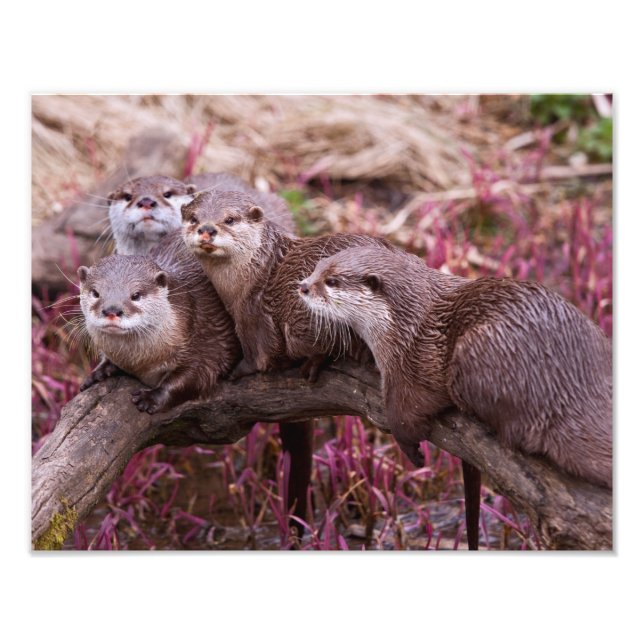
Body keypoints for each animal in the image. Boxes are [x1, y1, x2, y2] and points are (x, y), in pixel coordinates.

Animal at [78, 231, 241, 413]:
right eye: (95, 293)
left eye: (136, 295)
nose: (112, 310)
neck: (141, 363)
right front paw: (98, 373)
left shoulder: (206, 332)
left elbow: (196, 374)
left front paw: (150, 398)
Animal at [180, 190, 392, 381]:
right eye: (193, 218)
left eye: (230, 219)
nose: (207, 229)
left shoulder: (252, 314)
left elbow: (259, 352)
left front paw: (237, 370)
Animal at [299, 246, 613, 490]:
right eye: (316, 268)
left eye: (331, 281)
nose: (302, 286)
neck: (403, 324)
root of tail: (566, 387)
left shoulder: (411, 365)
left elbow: (405, 415)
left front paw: (412, 450)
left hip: (478, 351)